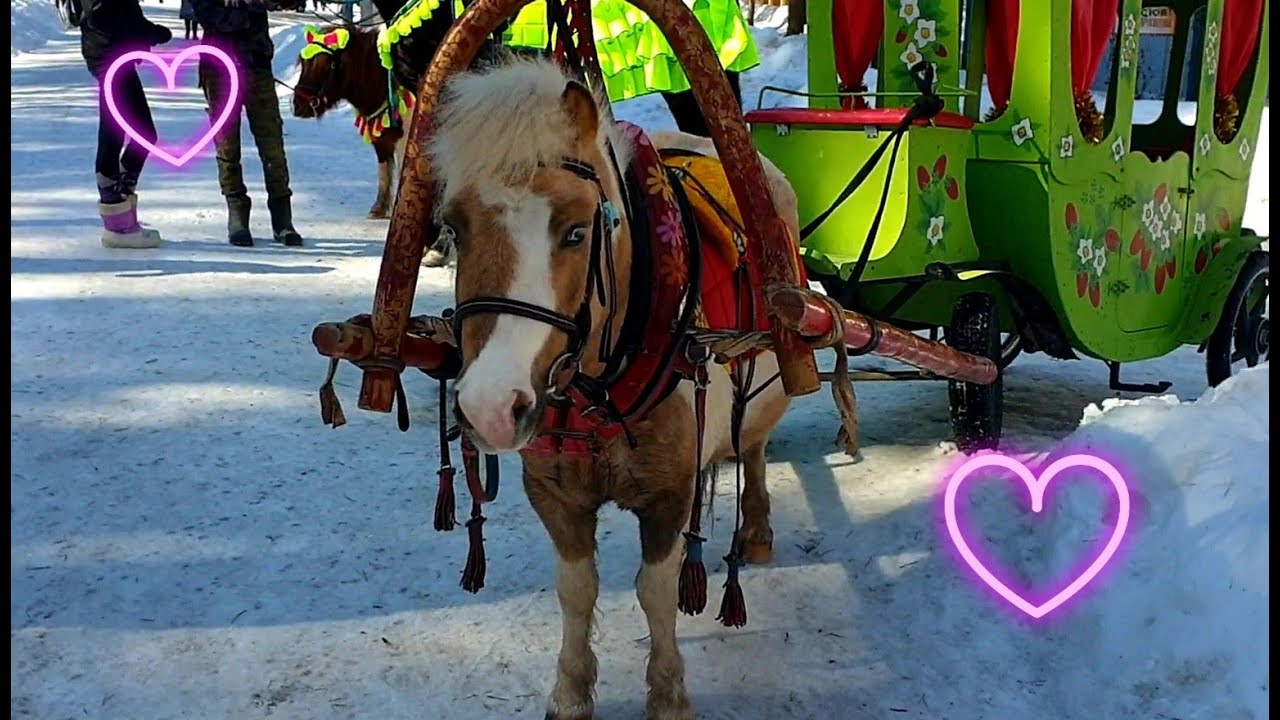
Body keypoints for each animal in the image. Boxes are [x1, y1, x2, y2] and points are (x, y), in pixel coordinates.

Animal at [428, 56, 799, 719]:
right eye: (454, 228)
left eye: (577, 232)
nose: (491, 406)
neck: (600, 392)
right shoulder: (555, 496)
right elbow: (576, 590)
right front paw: (572, 691)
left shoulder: (669, 495)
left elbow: (656, 591)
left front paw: (668, 693)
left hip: (766, 391)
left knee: (752, 447)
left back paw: (755, 529)